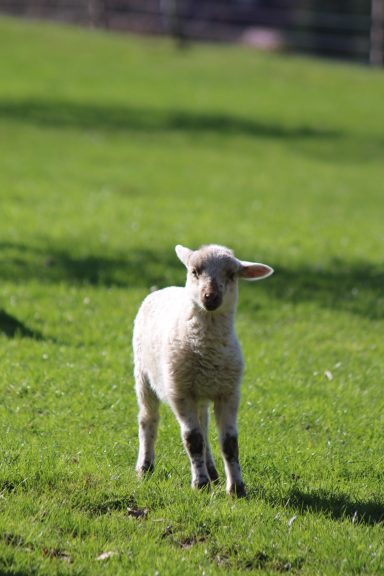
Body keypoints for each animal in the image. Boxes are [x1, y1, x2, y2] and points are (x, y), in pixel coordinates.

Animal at [132, 243, 272, 496]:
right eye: (195, 271)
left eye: (231, 275)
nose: (211, 296)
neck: (206, 348)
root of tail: (163, 289)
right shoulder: (180, 392)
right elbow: (192, 439)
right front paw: (200, 483)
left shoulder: (228, 393)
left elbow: (229, 443)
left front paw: (237, 488)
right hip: (143, 375)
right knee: (149, 420)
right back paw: (145, 467)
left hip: (203, 390)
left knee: (204, 426)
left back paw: (212, 470)